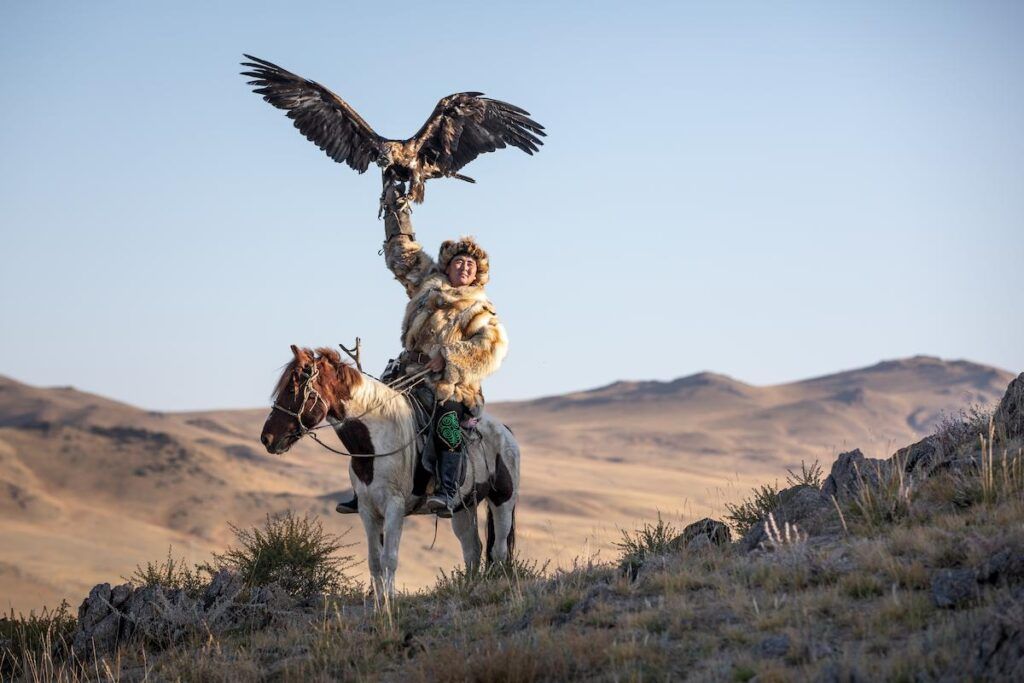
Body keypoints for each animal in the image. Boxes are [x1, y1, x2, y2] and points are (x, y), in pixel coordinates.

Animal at [260, 345, 520, 596]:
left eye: (292, 390)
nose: (267, 438)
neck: (374, 441)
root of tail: (506, 431)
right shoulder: (368, 510)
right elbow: (375, 561)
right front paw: (379, 601)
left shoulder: (394, 506)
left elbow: (390, 559)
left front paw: (391, 601)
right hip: (462, 508)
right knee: (472, 549)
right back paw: (469, 588)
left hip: (502, 500)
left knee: (498, 550)